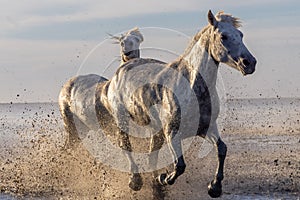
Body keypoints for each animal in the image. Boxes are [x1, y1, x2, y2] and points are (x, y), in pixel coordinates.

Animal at [58, 10, 255, 198]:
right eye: (223, 36)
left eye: (240, 34)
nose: (249, 63)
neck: (191, 87)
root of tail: (120, 72)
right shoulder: (171, 133)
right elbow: (179, 165)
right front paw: (164, 178)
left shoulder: (206, 127)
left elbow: (221, 148)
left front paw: (214, 187)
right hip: (120, 122)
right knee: (125, 146)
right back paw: (136, 181)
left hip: (152, 130)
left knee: (151, 156)